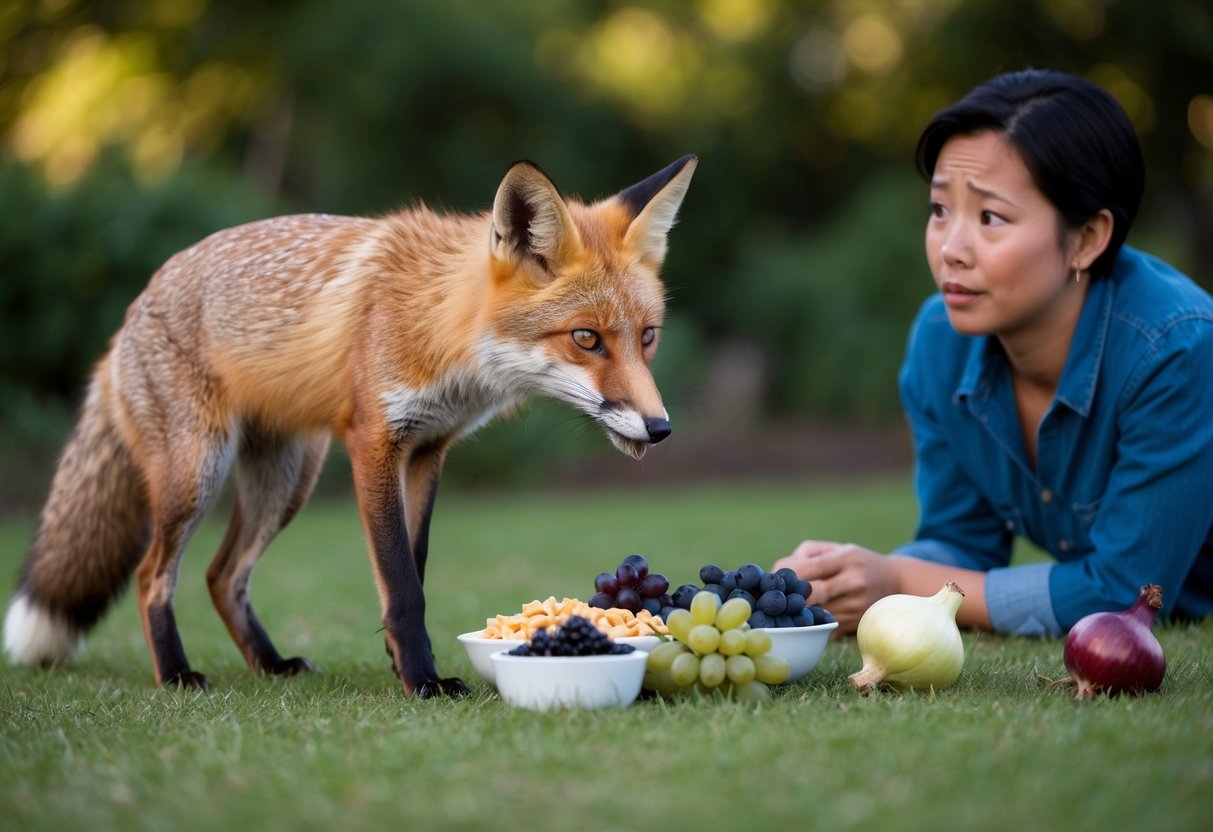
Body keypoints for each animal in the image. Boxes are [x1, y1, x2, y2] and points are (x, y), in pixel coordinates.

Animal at [4, 154, 697, 697]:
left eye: (647, 337)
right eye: (586, 338)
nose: (660, 428)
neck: (439, 325)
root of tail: (128, 317)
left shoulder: (429, 450)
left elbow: (414, 570)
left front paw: (401, 663)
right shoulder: (374, 443)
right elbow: (402, 583)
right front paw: (422, 681)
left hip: (285, 482)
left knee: (222, 575)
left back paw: (270, 664)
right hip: (196, 474)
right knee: (154, 575)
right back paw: (175, 673)